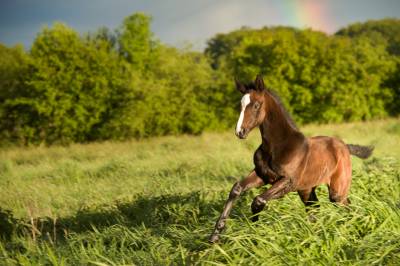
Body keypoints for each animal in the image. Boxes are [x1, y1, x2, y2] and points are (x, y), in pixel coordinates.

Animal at [208, 74, 374, 243]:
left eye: (256, 105)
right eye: (240, 106)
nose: (240, 132)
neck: (277, 146)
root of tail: (345, 146)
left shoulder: (287, 181)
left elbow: (258, 200)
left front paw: (254, 233)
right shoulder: (262, 176)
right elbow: (236, 189)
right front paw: (215, 235)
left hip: (337, 191)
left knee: (347, 206)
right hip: (306, 190)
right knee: (314, 210)